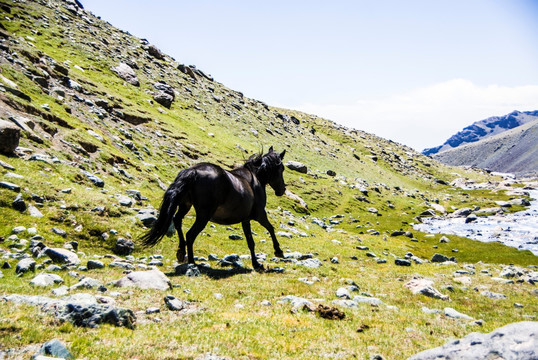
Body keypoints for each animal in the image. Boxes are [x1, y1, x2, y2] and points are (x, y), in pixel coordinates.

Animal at [140, 147, 286, 270]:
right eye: (282, 169)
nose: (282, 190)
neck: (255, 179)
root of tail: (192, 172)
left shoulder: (246, 220)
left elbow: (250, 241)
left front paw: (256, 264)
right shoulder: (260, 214)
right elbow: (270, 228)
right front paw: (278, 251)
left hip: (185, 205)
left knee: (177, 221)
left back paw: (181, 252)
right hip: (204, 215)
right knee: (190, 234)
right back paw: (192, 262)